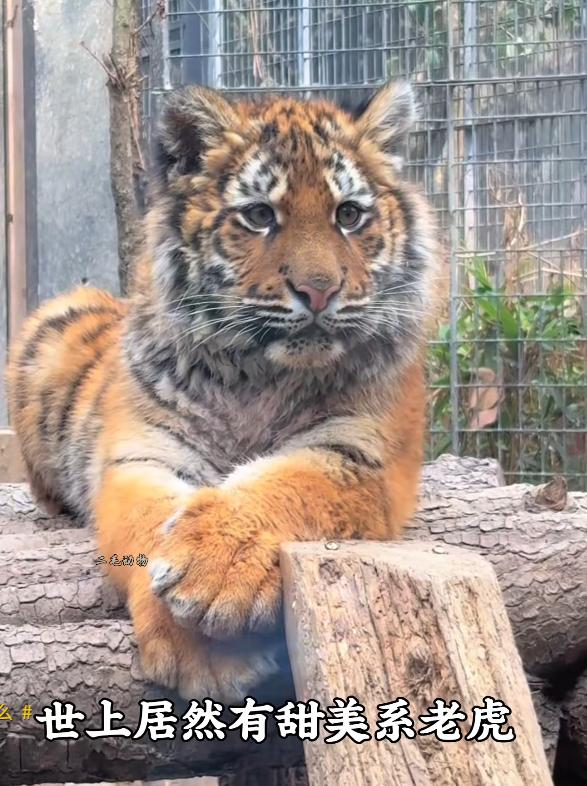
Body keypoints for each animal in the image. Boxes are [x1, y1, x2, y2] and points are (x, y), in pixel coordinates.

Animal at [7, 81, 439, 700]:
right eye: (259, 215)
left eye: (349, 215)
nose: (319, 290)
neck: (259, 374)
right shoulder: (142, 456)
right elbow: (145, 525)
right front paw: (201, 651)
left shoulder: (362, 455)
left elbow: (289, 483)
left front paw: (219, 567)